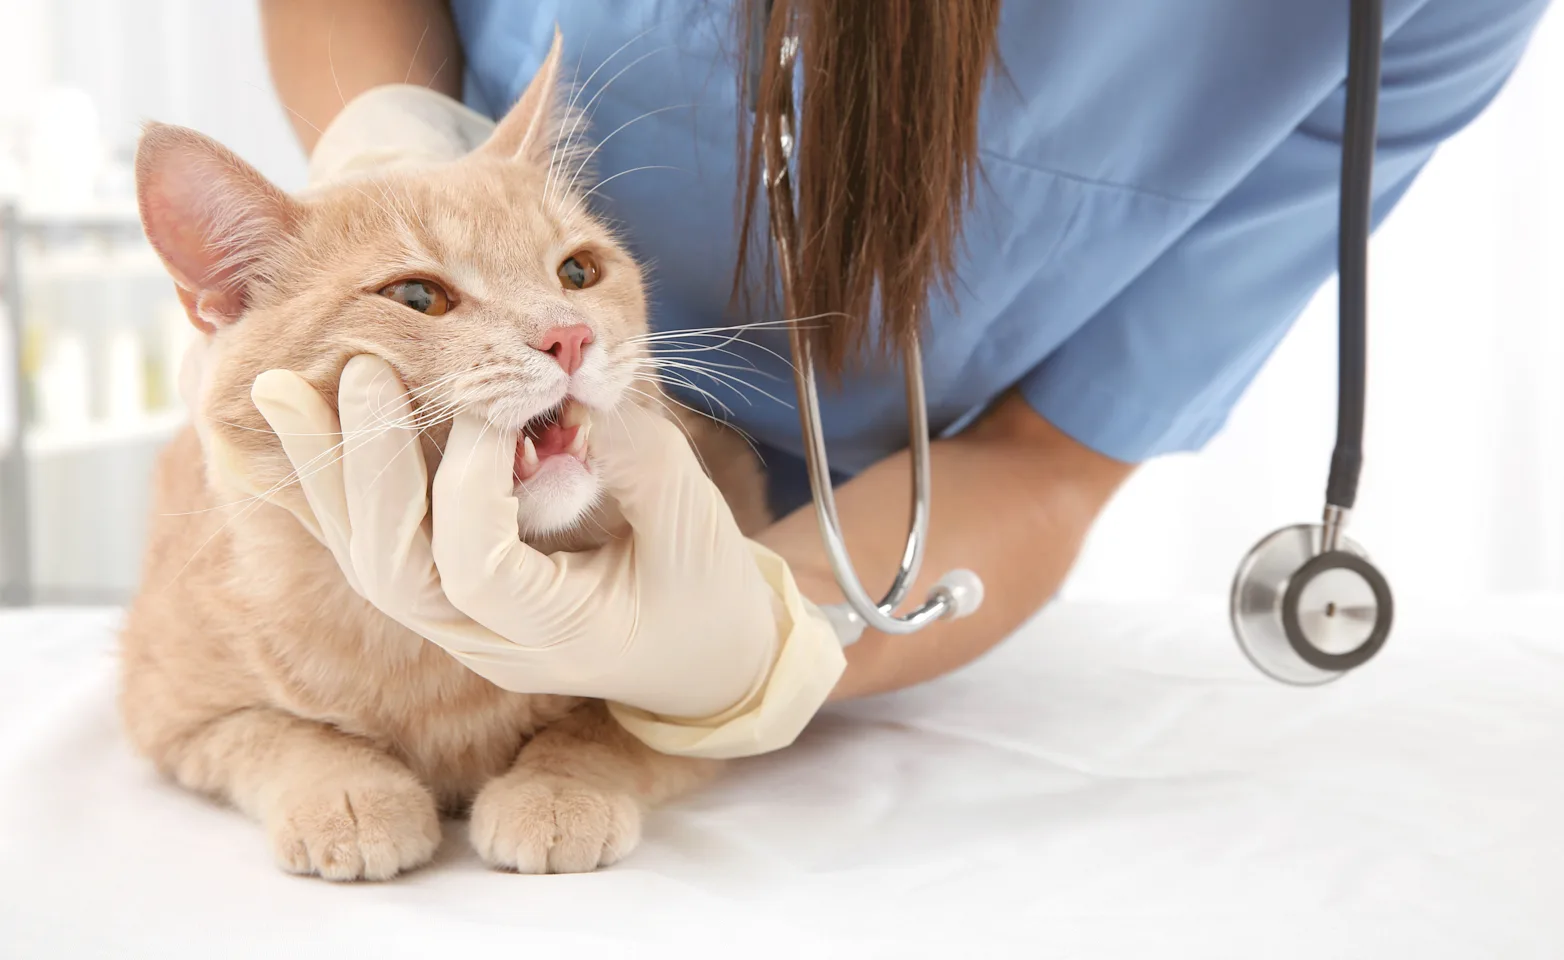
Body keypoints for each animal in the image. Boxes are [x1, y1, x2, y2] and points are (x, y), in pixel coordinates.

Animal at [115, 33, 769, 881]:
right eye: (418, 297)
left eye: (578, 272)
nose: (571, 337)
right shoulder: (169, 711)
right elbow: (277, 734)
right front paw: (350, 792)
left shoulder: (705, 696)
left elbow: (607, 728)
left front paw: (557, 787)